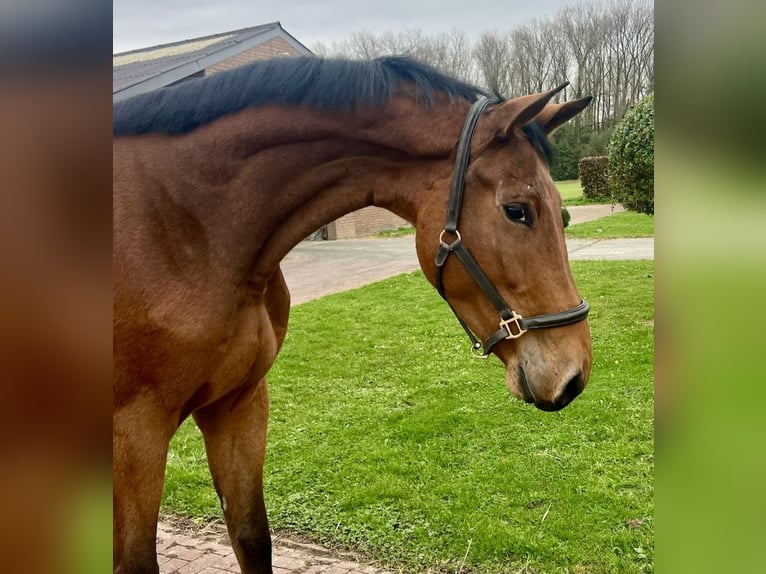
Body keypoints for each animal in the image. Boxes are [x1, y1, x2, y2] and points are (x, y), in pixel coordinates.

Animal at [112, 55, 592, 574]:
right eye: (517, 210)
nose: (574, 376)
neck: (189, 226)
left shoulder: (238, 406)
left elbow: (252, 536)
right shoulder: (135, 434)